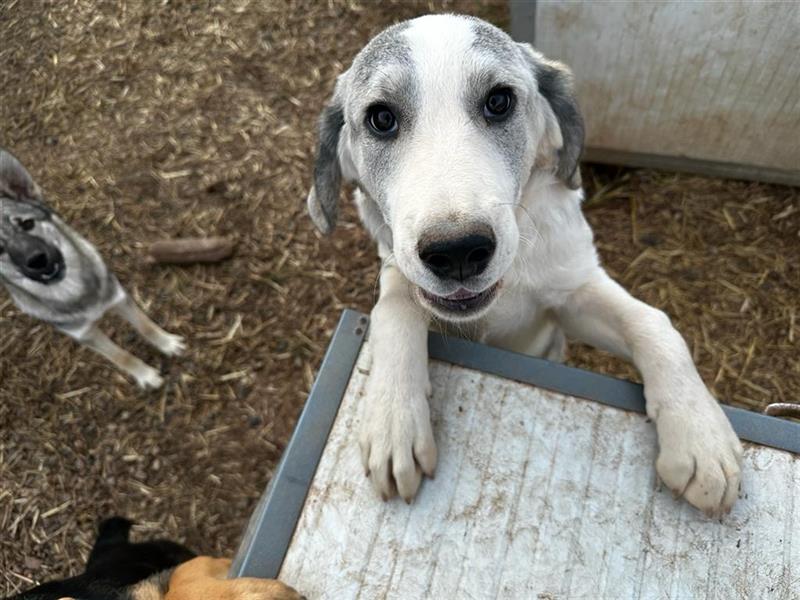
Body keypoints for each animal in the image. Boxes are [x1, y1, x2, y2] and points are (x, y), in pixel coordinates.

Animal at [306, 16, 744, 516]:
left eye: (499, 102)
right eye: (381, 118)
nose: (458, 252)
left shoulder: (572, 293)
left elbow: (653, 322)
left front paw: (700, 436)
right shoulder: (400, 269)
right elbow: (393, 308)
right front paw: (393, 418)